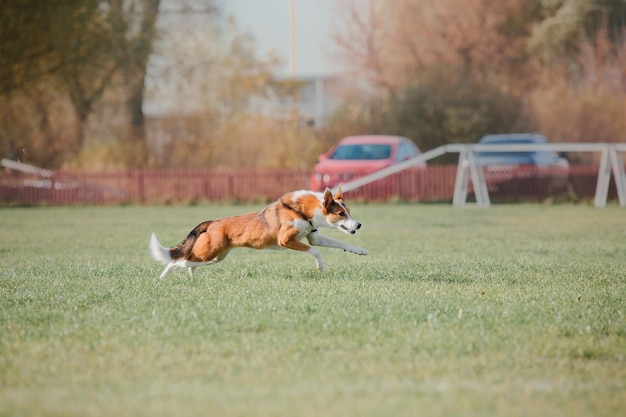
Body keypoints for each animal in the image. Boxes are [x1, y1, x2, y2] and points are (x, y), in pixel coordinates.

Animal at [149, 187, 368, 278]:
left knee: (189, 262)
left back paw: (189, 274)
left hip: (216, 256)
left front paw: (361, 250)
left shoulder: (314, 236)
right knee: (178, 260)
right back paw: (163, 277)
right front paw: (320, 267)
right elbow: (316, 251)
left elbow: (341, 243)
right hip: (210, 251)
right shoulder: (286, 239)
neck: (303, 211)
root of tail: (210, 223)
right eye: (340, 213)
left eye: (349, 211)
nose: (358, 225)